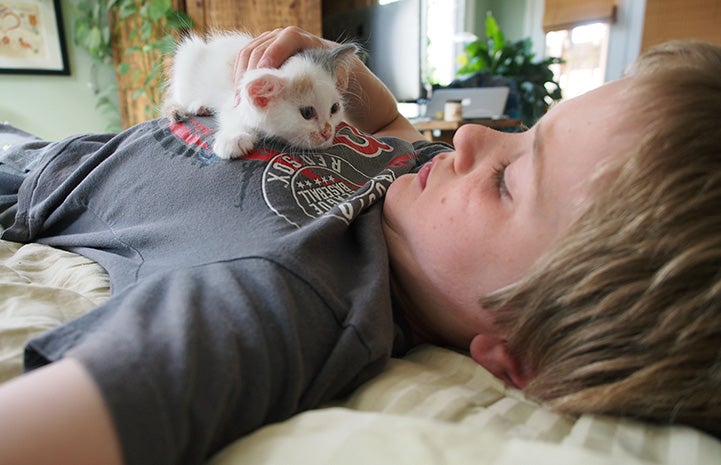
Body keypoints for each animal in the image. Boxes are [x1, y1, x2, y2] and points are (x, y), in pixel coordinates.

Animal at [160, 31, 358, 158]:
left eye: (334, 108)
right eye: (307, 113)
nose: (327, 132)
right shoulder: (236, 98)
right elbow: (232, 115)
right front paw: (234, 138)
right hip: (188, 57)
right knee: (177, 96)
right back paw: (194, 106)